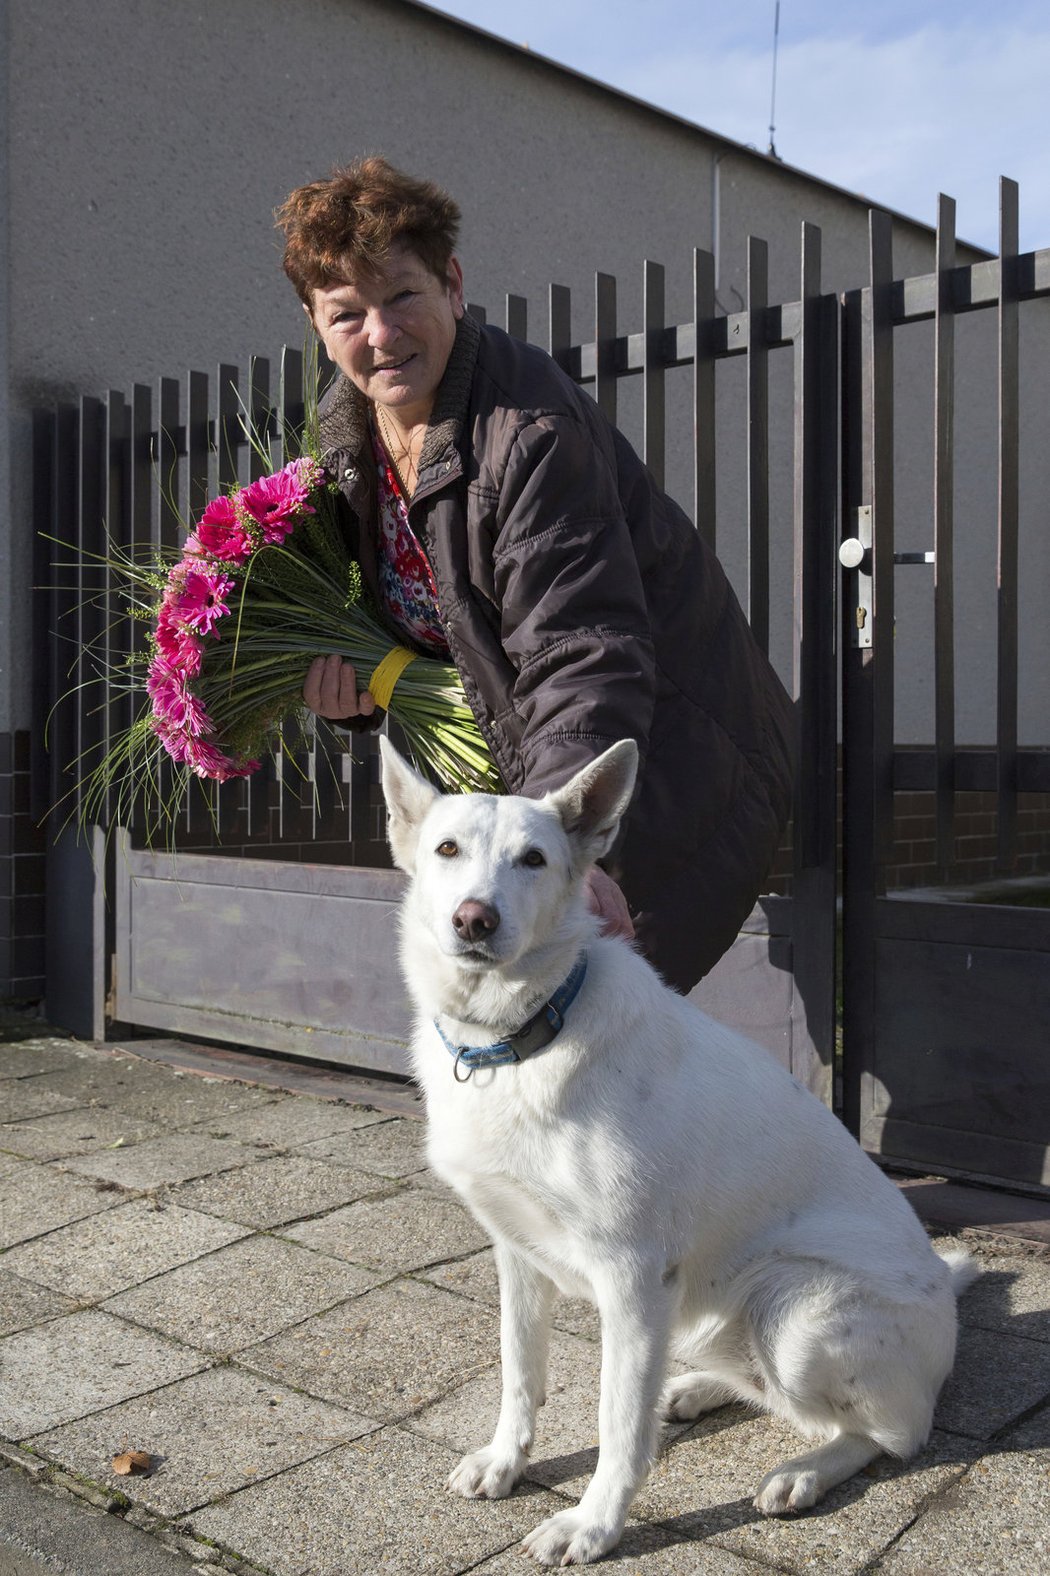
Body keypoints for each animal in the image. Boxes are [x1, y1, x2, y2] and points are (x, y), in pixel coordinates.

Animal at [376, 737, 971, 1563]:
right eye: (447, 849)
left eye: (533, 859)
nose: (475, 919)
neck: (520, 1041)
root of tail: (946, 1291)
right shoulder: (518, 1255)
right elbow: (519, 1371)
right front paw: (505, 1461)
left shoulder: (632, 1277)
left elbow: (618, 1421)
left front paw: (593, 1525)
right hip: (707, 1316)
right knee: (774, 1393)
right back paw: (695, 1390)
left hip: (793, 1307)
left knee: (889, 1432)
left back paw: (803, 1471)